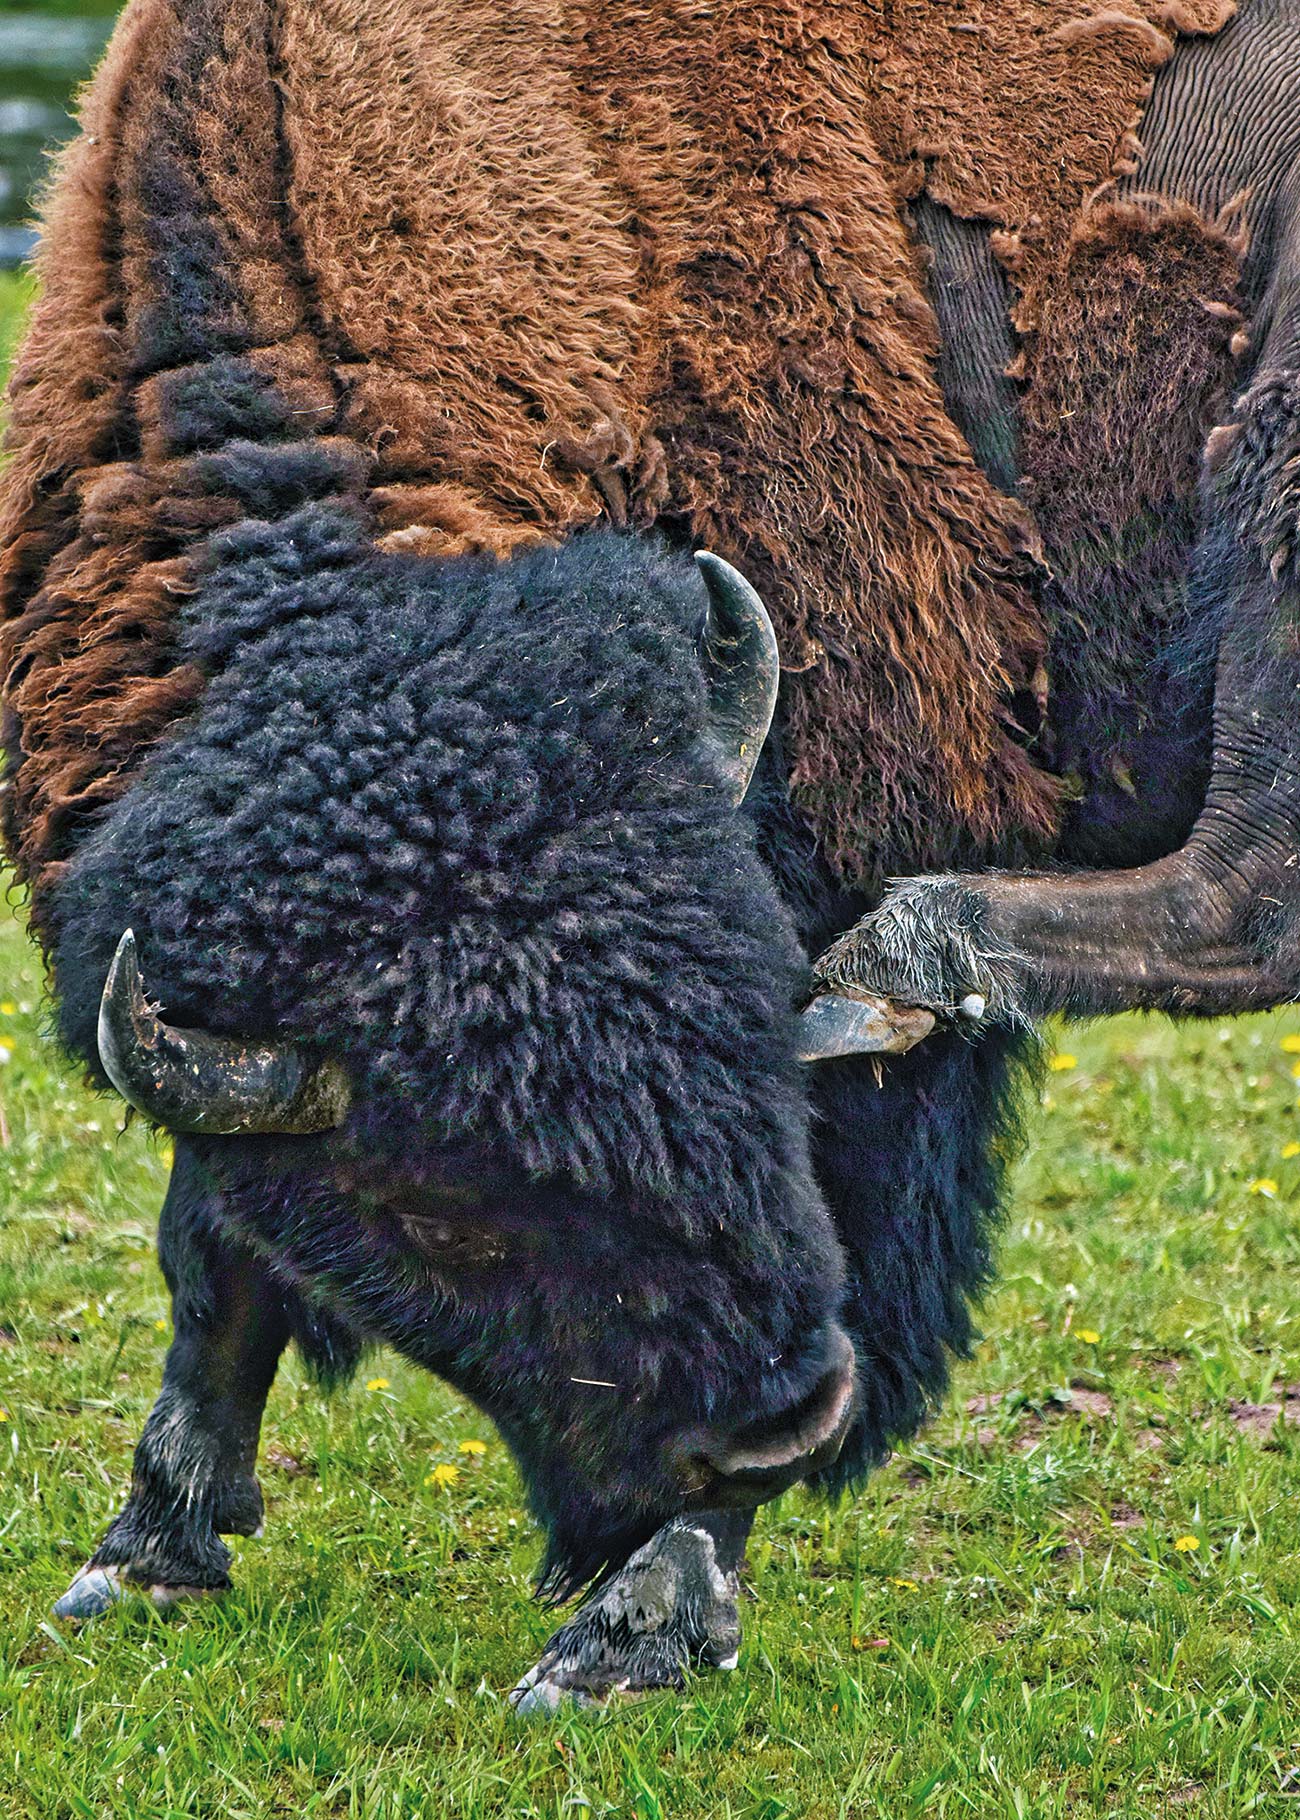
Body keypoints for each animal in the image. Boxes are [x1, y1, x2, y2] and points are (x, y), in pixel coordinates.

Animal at [2, 0, 1296, 1703]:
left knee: (1249, 881)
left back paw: (915, 953)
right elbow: (210, 1239)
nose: (781, 1425)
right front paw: (143, 1552)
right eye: (443, 1211)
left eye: (746, 1055)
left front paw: (633, 1628)